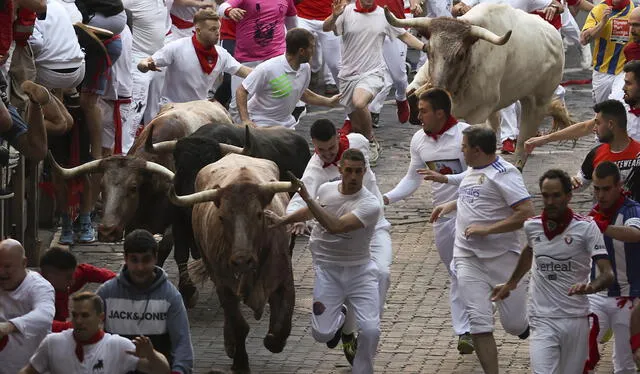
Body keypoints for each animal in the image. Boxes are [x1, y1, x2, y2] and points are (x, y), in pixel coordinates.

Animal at [168, 153, 298, 372]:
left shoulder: (284, 279)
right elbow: (239, 325)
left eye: (259, 214)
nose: (241, 260)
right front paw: (240, 362)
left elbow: (282, 323)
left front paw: (273, 340)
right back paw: (230, 345)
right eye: (221, 217)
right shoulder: (224, 284)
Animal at [388, 2, 564, 169]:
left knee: (523, 145)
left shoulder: (478, 114)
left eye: (460, 55)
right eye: (427, 49)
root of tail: (554, 36)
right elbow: (411, 92)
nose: (436, 89)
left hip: (537, 103)